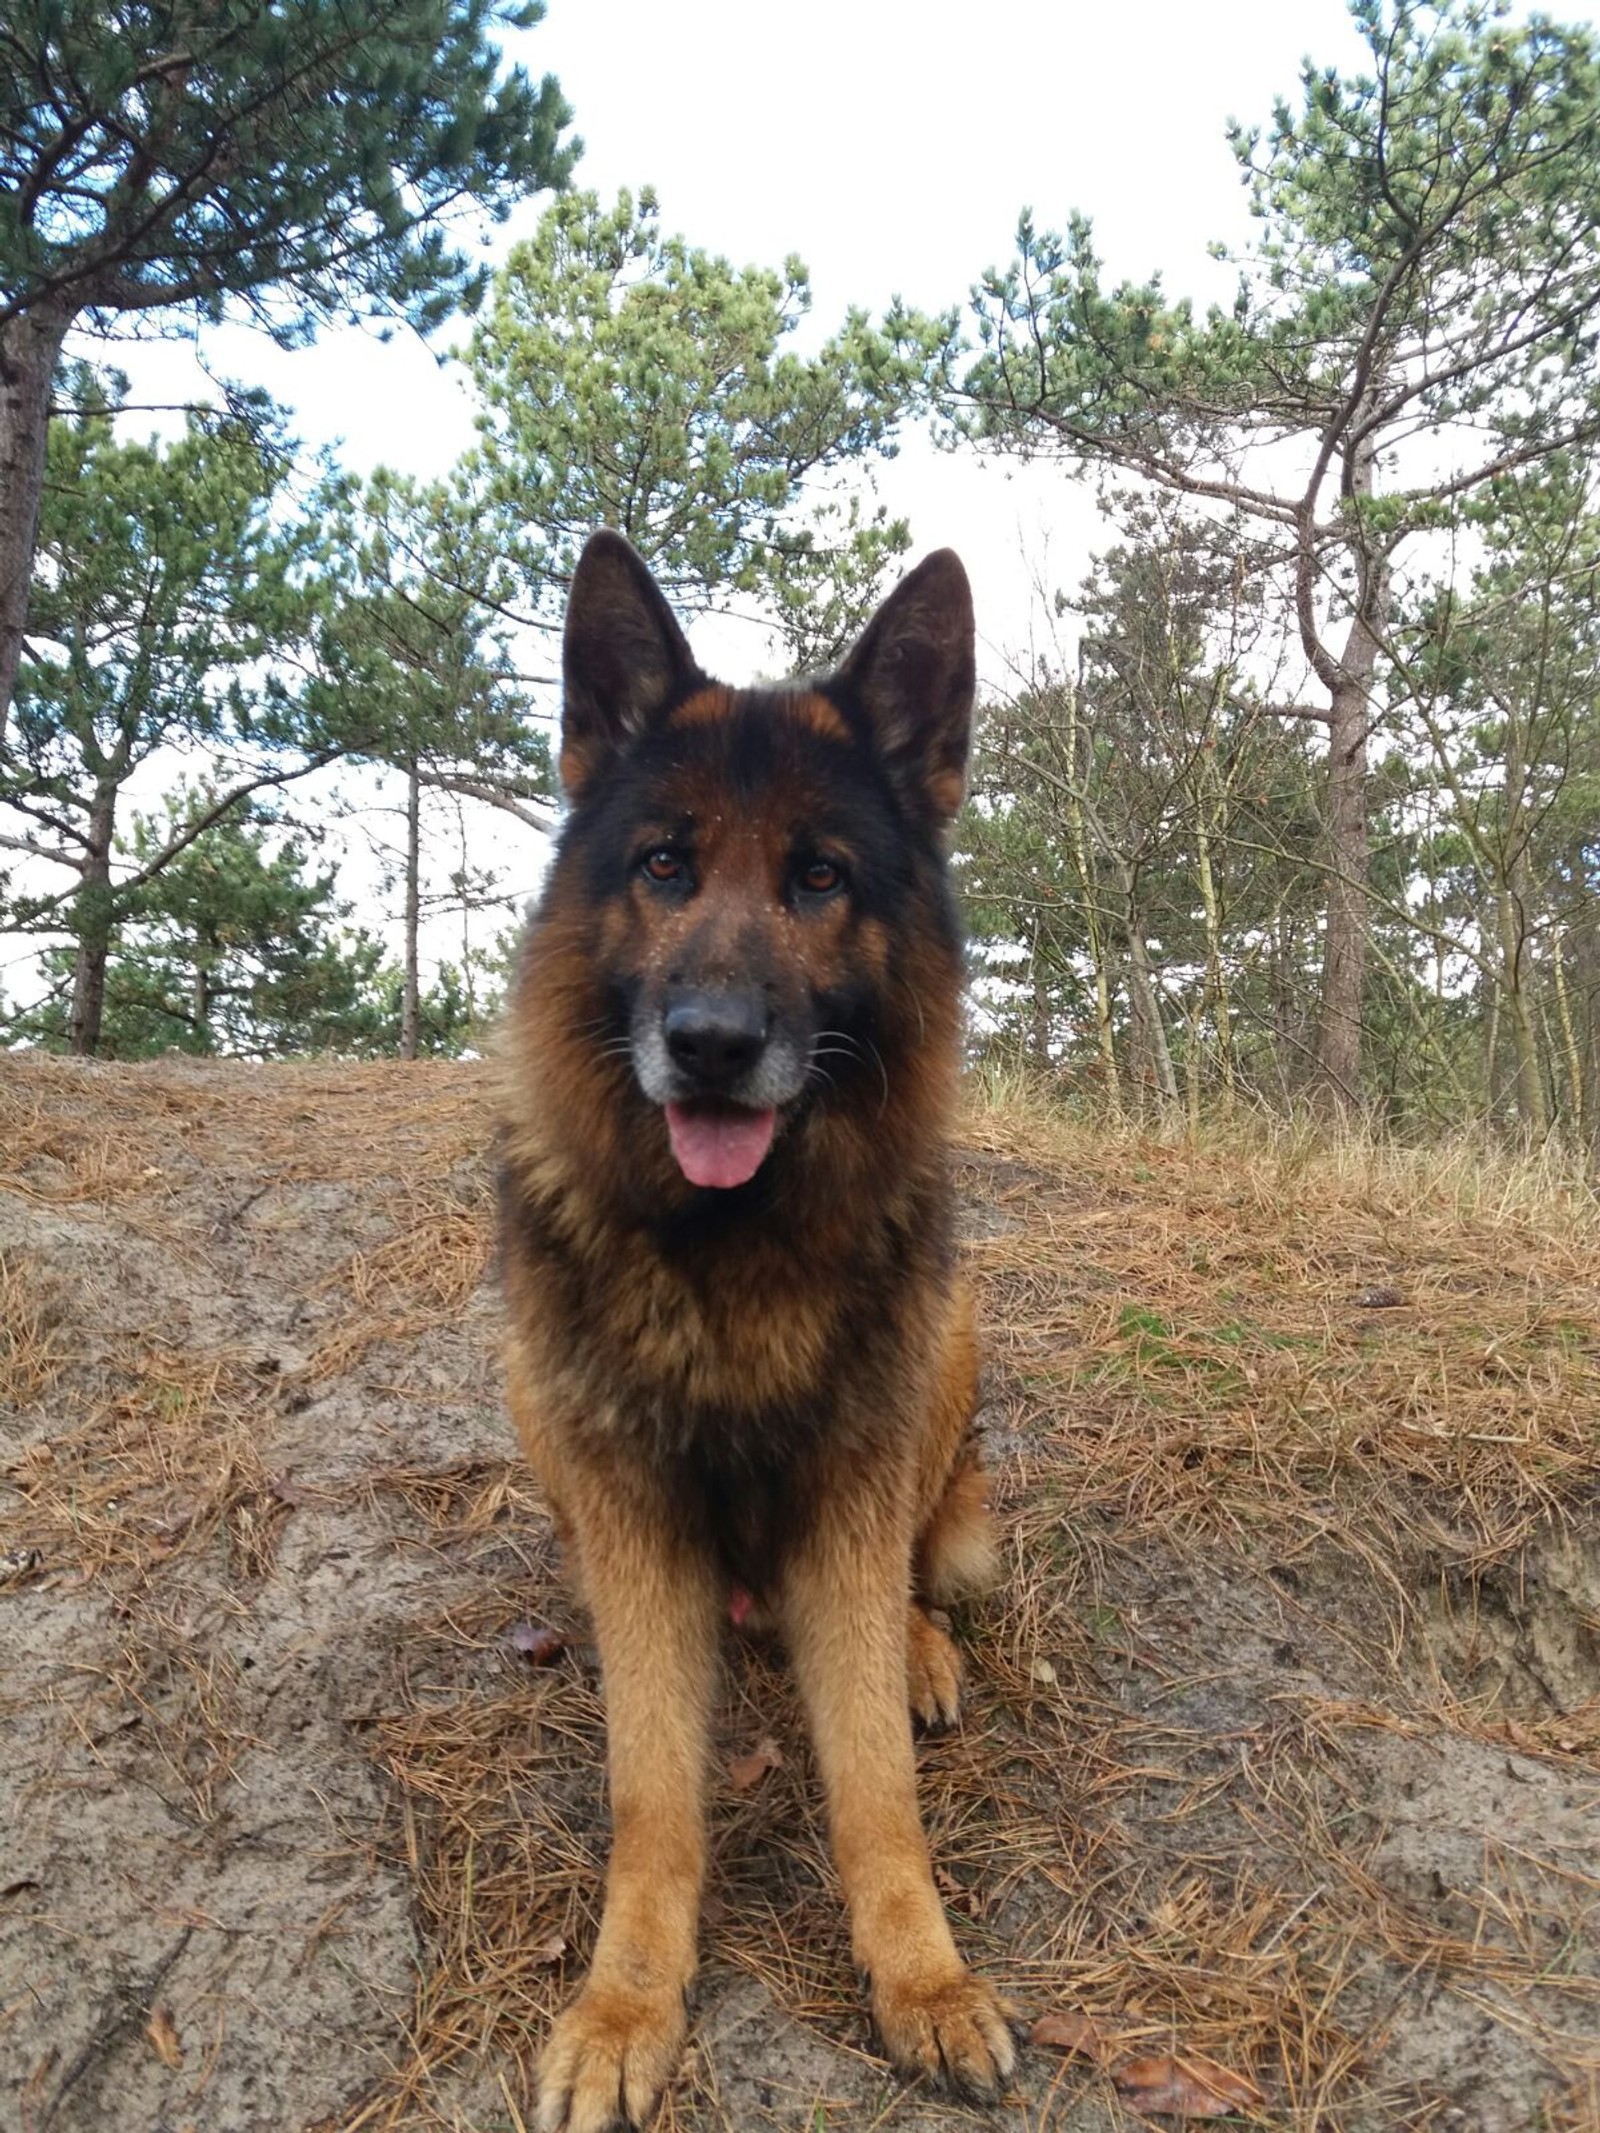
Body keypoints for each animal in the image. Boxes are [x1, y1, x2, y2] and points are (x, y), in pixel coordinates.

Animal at [499, 533, 1015, 2133]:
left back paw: (917, 1647)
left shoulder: (847, 1504)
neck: (729, 1255)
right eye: (665, 863)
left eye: (819, 877)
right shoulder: (635, 1527)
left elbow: (876, 1791)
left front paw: (923, 1980)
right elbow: (652, 1795)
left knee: (919, 1560)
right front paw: (625, 2004)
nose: (713, 1045)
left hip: (948, 1345)